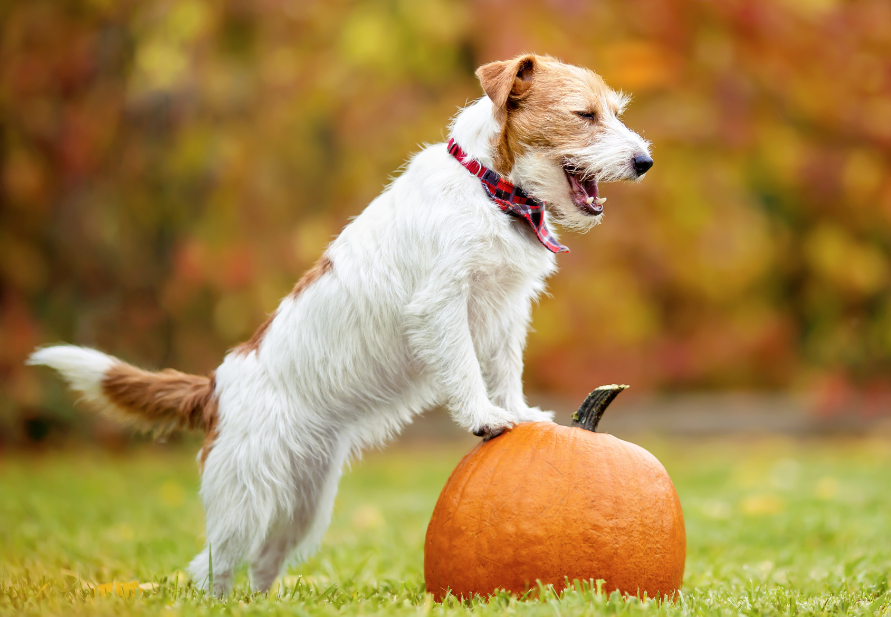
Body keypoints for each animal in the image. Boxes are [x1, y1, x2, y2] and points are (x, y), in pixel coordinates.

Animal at [29, 55, 656, 596]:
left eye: (614, 110)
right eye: (585, 115)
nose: (644, 162)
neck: (489, 186)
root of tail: (216, 387)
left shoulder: (505, 311)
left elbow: (505, 370)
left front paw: (520, 413)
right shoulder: (441, 305)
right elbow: (465, 371)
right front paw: (485, 418)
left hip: (305, 504)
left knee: (265, 562)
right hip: (245, 498)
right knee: (213, 566)